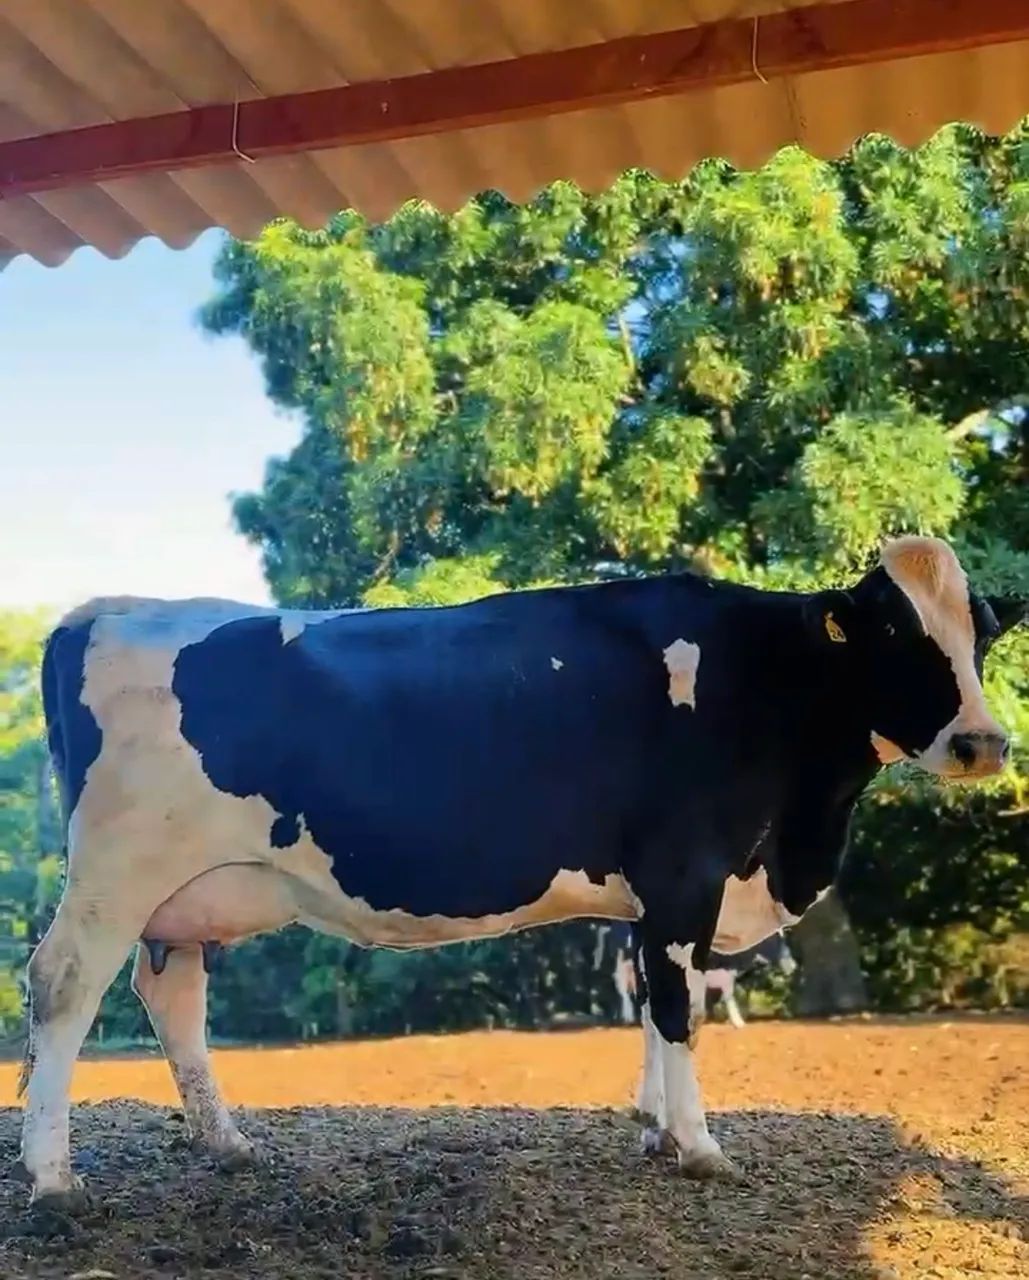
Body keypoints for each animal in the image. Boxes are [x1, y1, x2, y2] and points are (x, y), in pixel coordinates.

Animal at [18, 536, 1024, 1207]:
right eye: (892, 630)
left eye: (979, 634)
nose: (982, 742)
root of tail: (102, 609)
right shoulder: (685, 873)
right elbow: (676, 1010)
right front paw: (699, 1147)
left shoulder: (654, 897)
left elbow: (658, 1003)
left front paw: (655, 1128)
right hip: (117, 871)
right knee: (63, 985)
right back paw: (52, 1177)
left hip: (185, 897)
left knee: (173, 1000)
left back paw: (226, 1144)